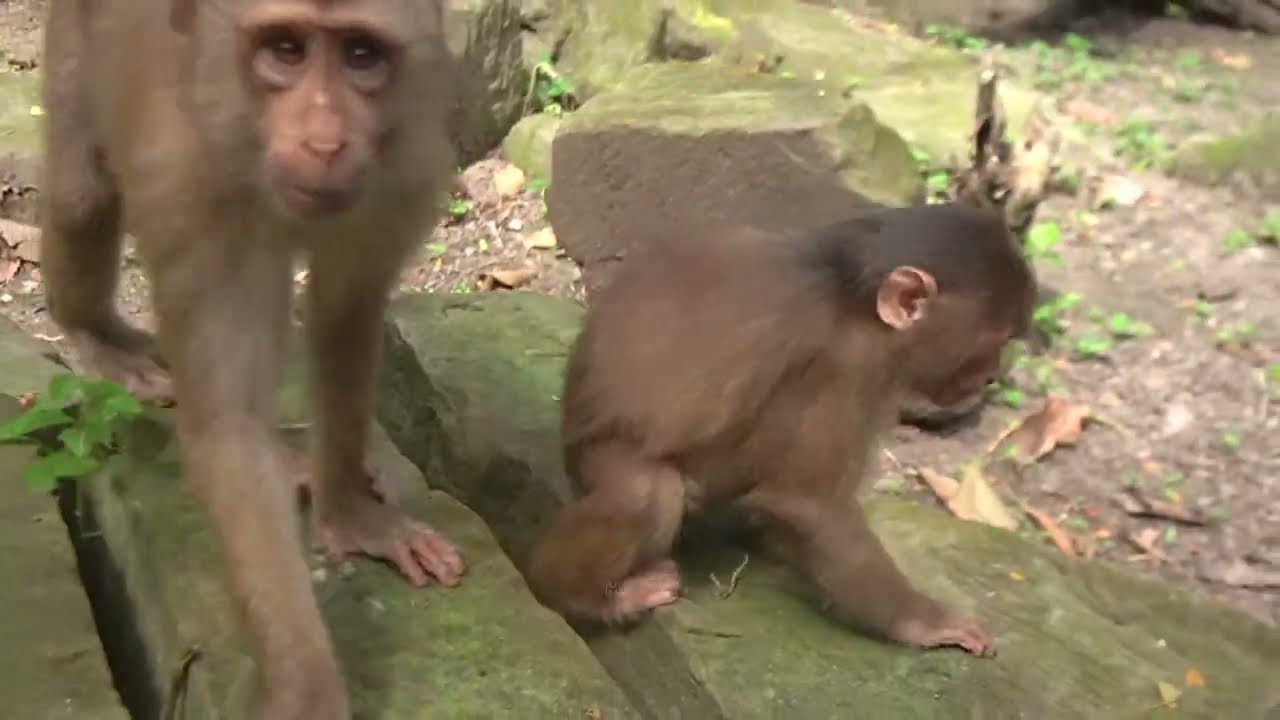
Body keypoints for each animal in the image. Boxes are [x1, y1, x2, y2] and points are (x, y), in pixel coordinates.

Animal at [38, 0, 465, 715]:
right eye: (285, 50)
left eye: (361, 55)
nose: (324, 143)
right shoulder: (193, 199)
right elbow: (230, 426)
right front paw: (307, 685)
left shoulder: (396, 176)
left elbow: (346, 316)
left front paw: (349, 507)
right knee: (81, 197)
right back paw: (99, 336)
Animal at [526, 203, 1036, 657]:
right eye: (992, 342)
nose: (992, 376)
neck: (847, 289)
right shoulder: (847, 367)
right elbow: (809, 505)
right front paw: (922, 623)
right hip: (594, 462)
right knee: (649, 491)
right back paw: (590, 598)